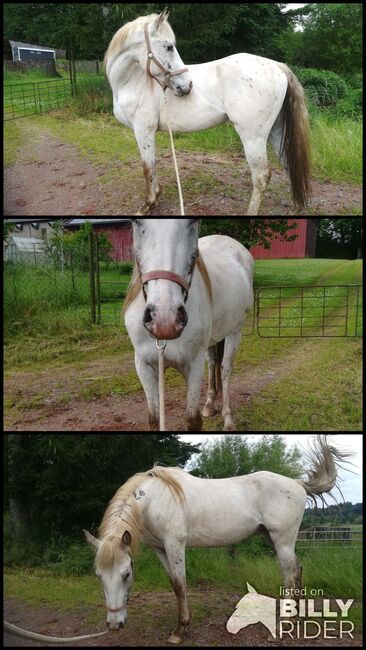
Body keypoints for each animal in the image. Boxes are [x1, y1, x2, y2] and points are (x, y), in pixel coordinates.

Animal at [83, 436, 352, 644]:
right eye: (98, 575)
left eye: (126, 574)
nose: (114, 624)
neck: (154, 499)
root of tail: (297, 484)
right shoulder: (160, 549)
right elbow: (173, 583)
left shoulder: (174, 545)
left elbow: (180, 584)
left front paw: (180, 631)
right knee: (297, 570)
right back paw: (294, 616)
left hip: (282, 541)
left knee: (289, 575)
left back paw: (282, 626)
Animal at [104, 8, 310, 215]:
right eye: (169, 47)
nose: (187, 85)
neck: (131, 82)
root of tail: (277, 66)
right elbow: (152, 166)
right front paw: (155, 197)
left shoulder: (143, 131)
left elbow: (147, 168)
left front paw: (148, 204)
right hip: (276, 130)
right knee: (289, 164)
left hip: (253, 136)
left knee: (261, 176)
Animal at [124, 218, 253, 430]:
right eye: (136, 221)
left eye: (193, 222)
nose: (164, 320)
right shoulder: (144, 366)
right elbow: (154, 419)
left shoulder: (193, 366)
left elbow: (193, 420)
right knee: (212, 363)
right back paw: (209, 405)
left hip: (236, 330)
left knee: (225, 369)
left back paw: (228, 419)